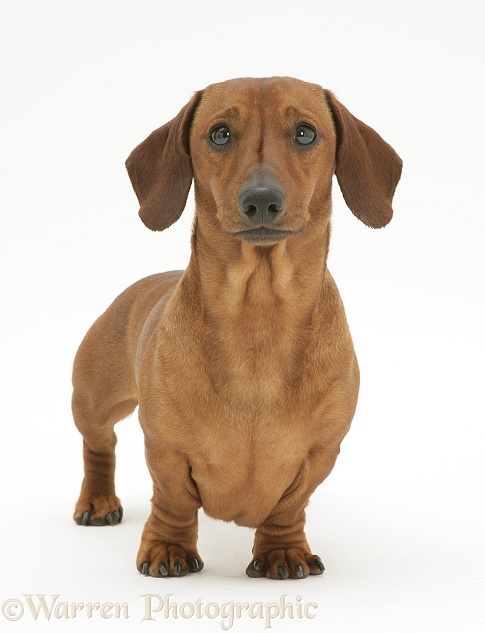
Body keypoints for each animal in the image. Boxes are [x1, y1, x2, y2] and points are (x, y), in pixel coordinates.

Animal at [71, 76, 400, 580]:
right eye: (220, 134)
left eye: (305, 133)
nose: (261, 201)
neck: (258, 315)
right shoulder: (165, 447)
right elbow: (173, 501)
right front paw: (168, 547)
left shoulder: (321, 452)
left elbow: (289, 506)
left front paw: (282, 551)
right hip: (94, 397)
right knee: (99, 444)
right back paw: (98, 500)